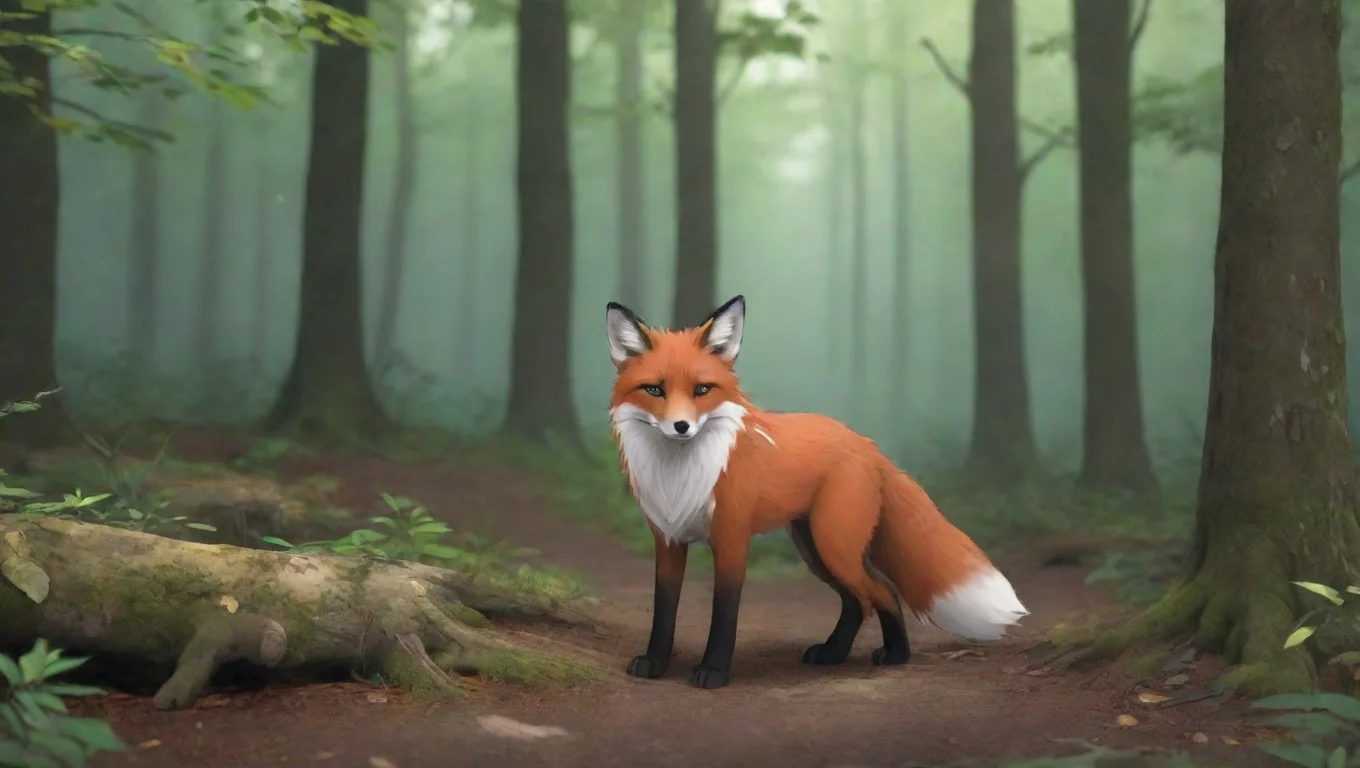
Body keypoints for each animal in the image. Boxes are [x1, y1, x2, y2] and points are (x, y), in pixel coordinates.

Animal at [604, 294, 1029, 689]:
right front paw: (655, 664)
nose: (681, 427)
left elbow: (725, 613)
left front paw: (714, 671)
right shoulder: (668, 540)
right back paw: (834, 653)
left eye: (702, 389)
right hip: (815, 549)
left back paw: (895, 655)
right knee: (857, 601)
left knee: (883, 591)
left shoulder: (731, 539)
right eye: (654, 389)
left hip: (833, 545)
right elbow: (664, 609)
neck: (681, 475)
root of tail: (866, 444)